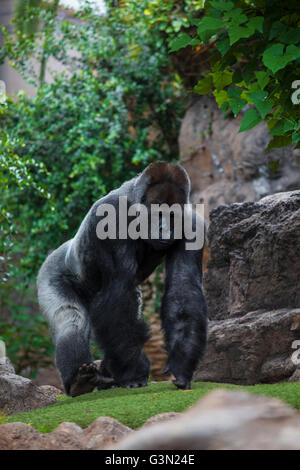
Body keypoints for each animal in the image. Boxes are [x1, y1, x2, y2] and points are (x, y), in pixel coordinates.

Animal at [37, 162, 206, 396]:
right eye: (158, 212)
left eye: (172, 215)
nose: (165, 228)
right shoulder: (111, 219)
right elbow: (119, 291)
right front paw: (134, 373)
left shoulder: (191, 224)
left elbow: (183, 286)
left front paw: (182, 363)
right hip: (50, 272)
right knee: (70, 318)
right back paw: (78, 380)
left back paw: (107, 376)